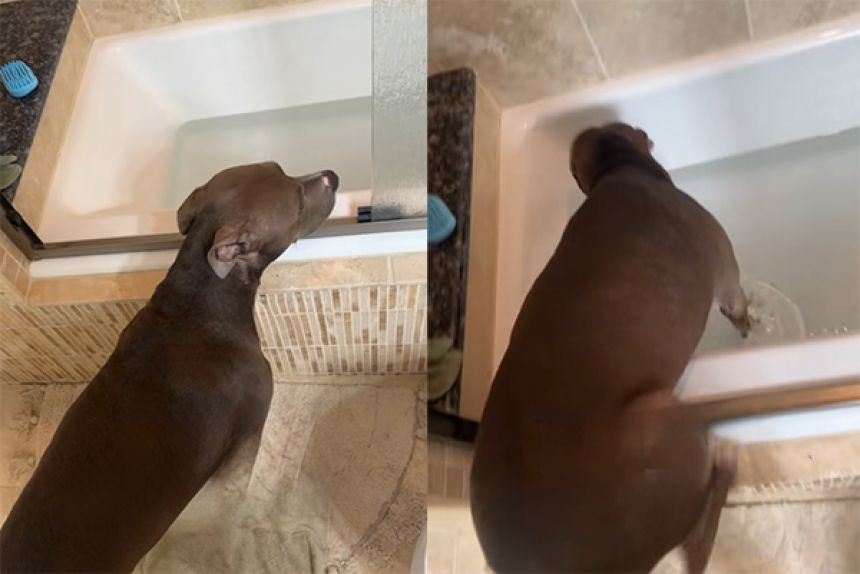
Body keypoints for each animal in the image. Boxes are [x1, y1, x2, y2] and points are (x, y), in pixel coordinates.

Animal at [470, 123, 747, 573]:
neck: (622, 167)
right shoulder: (727, 274)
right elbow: (737, 303)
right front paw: (746, 325)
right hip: (664, 418)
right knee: (700, 535)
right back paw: (725, 469)